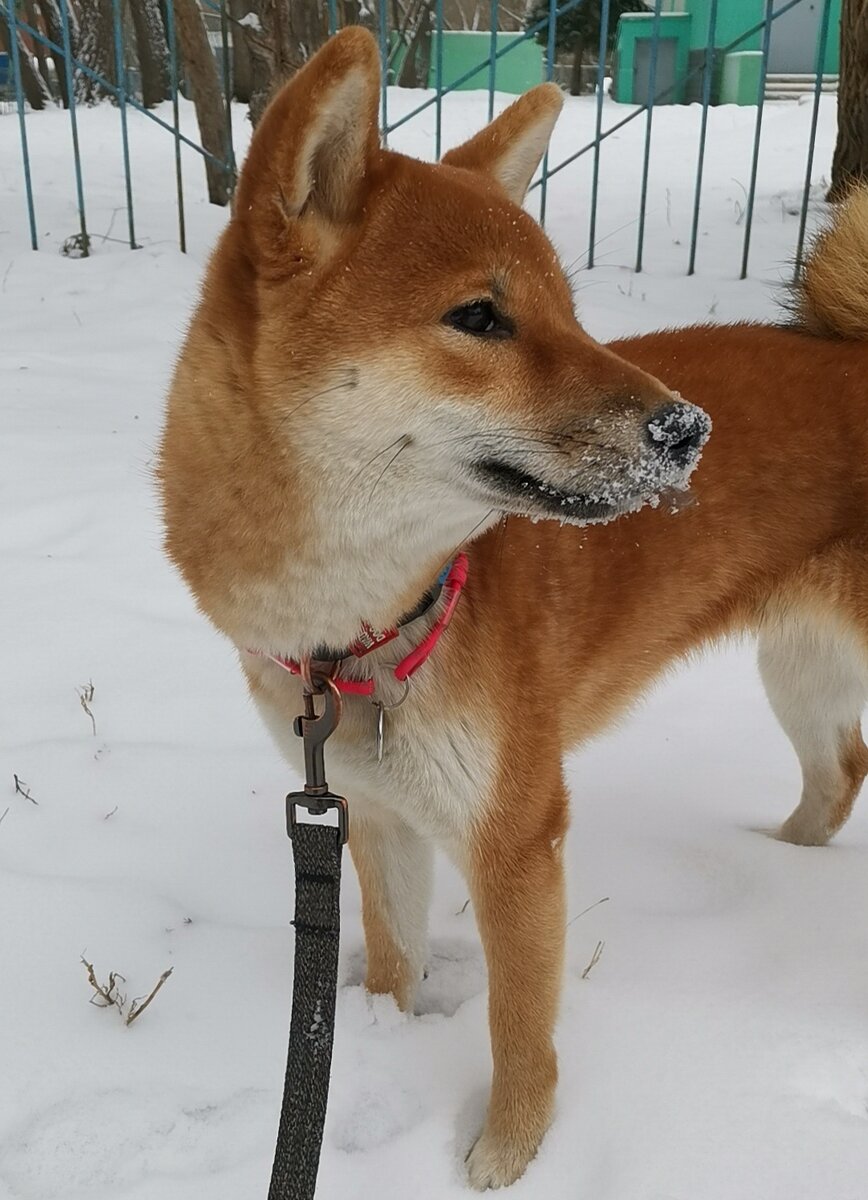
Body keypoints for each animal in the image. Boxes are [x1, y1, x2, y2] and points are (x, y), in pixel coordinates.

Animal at [159, 28, 868, 1190]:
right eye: (480, 317)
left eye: (569, 313)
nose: (689, 429)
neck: (369, 629)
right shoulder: (374, 814)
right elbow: (393, 961)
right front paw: (388, 1037)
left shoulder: (516, 836)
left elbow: (518, 1026)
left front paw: (503, 1155)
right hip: (798, 670)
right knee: (837, 775)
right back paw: (779, 863)